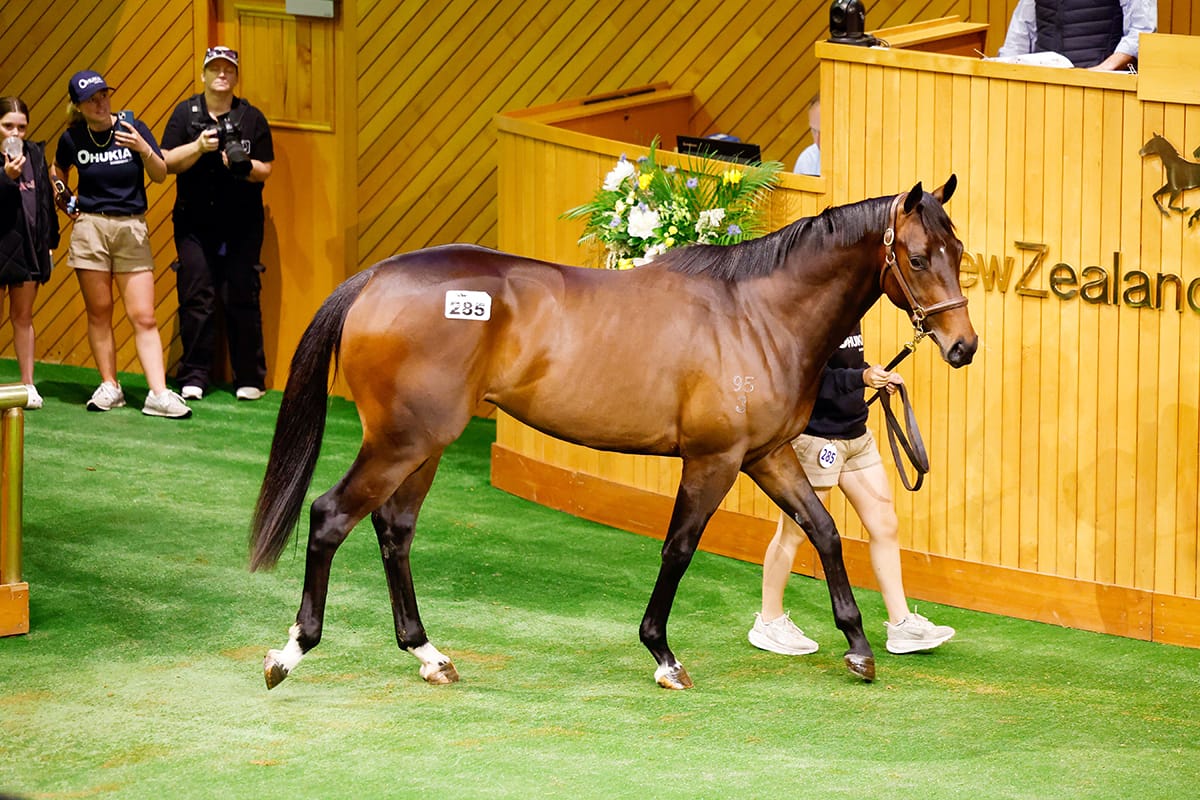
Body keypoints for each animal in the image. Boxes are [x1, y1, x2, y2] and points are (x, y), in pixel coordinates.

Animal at [249, 176, 977, 691]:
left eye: (960, 252)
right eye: (917, 258)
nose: (963, 346)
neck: (756, 313)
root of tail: (375, 278)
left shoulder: (766, 456)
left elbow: (823, 533)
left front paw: (858, 647)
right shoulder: (714, 459)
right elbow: (679, 548)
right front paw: (663, 653)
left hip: (424, 445)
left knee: (394, 529)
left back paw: (428, 653)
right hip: (400, 441)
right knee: (331, 516)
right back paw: (290, 651)